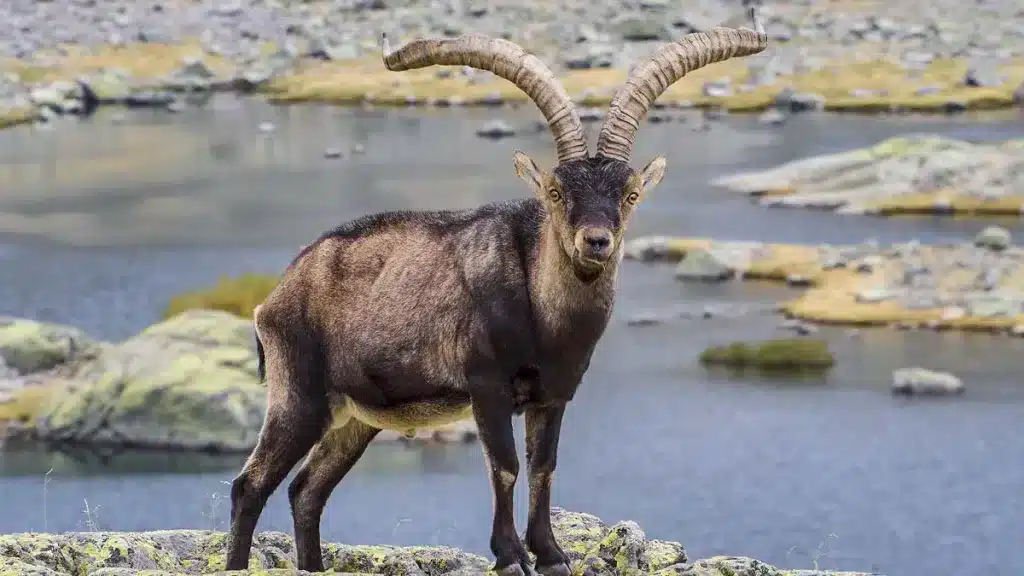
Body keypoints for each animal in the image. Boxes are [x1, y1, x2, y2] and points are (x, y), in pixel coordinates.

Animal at [225, 10, 767, 575]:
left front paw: (550, 553)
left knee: (307, 491)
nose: (595, 241)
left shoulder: (553, 395)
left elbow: (544, 466)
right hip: (299, 396)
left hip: (353, 418)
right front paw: (510, 554)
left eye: (631, 194)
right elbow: (505, 468)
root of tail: (274, 297)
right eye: (555, 192)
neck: (545, 318)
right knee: (251, 486)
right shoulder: (486, 386)